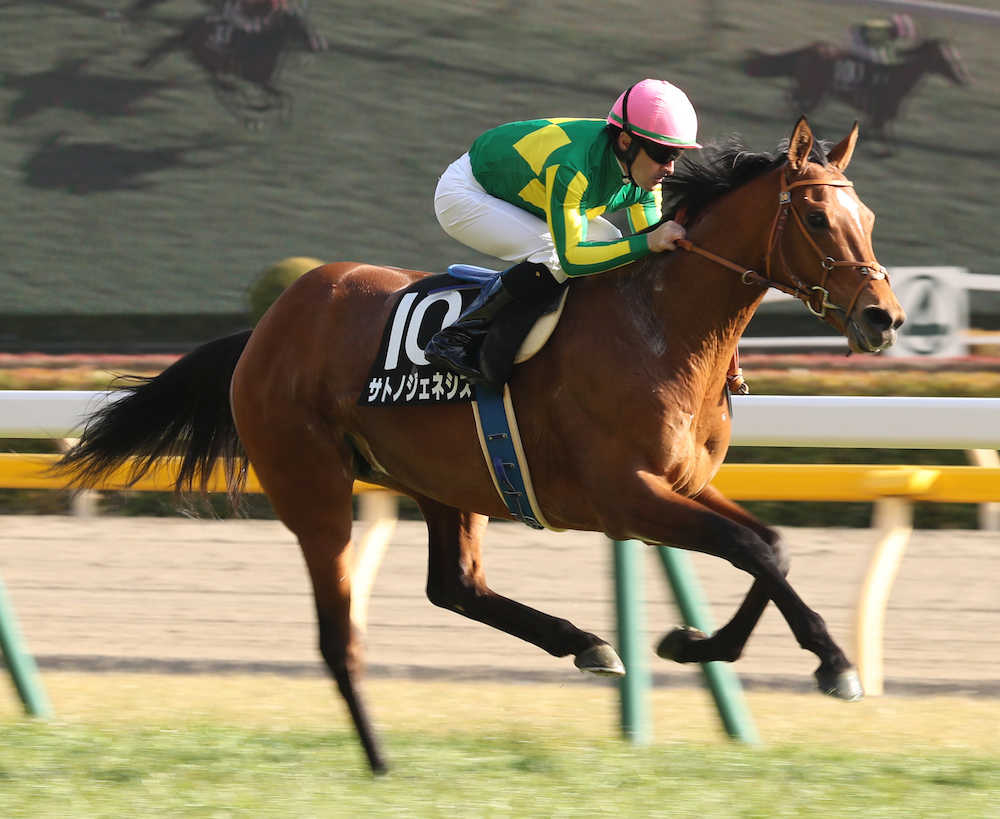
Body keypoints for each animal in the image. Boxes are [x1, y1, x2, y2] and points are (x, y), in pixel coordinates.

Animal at [57, 118, 905, 775]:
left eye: (867, 216)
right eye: (818, 220)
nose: (883, 318)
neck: (662, 325)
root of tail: (267, 325)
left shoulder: (683, 482)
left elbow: (769, 547)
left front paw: (702, 642)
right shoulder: (626, 494)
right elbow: (752, 549)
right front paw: (820, 661)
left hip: (446, 478)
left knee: (455, 585)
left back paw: (585, 642)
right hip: (313, 486)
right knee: (339, 636)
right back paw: (379, 759)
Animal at [133, 4, 326, 123]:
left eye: (305, 26)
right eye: (298, 27)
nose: (315, 46)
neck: (264, 44)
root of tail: (190, 30)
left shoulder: (263, 82)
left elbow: (283, 96)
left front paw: (267, 110)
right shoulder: (256, 80)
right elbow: (282, 97)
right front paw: (270, 113)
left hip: (212, 65)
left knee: (219, 88)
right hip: (209, 62)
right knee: (220, 88)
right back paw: (243, 108)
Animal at [744, 39, 970, 148]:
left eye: (954, 56)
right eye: (946, 58)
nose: (962, 77)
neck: (896, 78)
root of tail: (809, 48)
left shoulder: (881, 116)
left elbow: (880, 135)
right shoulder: (880, 113)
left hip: (814, 90)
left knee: (793, 98)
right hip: (813, 89)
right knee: (793, 99)